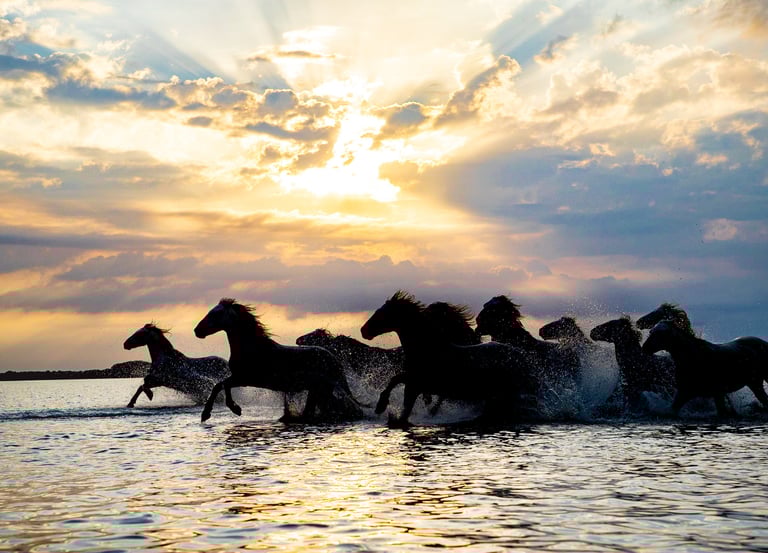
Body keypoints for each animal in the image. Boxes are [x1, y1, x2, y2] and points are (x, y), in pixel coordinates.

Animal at [194, 298, 365, 423]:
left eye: (216, 314)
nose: (197, 331)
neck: (251, 348)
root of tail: (334, 360)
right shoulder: (240, 377)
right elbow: (221, 385)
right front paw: (213, 413)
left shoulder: (245, 378)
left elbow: (221, 385)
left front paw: (229, 410)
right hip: (317, 389)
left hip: (322, 388)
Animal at [360, 291, 535, 427]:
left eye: (382, 314)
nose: (363, 331)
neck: (428, 350)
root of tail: (520, 356)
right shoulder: (414, 385)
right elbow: (398, 388)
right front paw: (383, 408)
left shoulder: (418, 384)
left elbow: (399, 390)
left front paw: (382, 407)